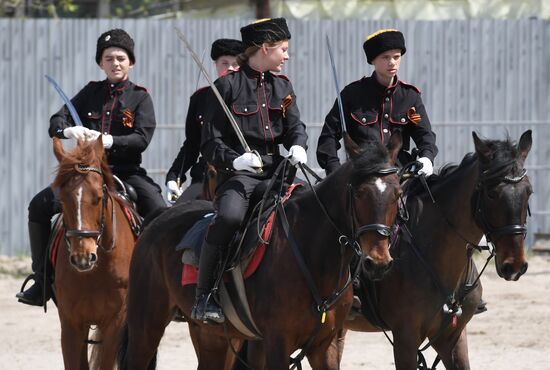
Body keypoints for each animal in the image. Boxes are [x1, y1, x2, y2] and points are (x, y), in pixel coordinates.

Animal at [116, 134, 404, 370]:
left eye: (397, 192)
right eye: (360, 194)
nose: (378, 263)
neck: (312, 255)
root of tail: (159, 217)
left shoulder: (326, 345)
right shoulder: (277, 343)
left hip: (211, 337)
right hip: (146, 326)